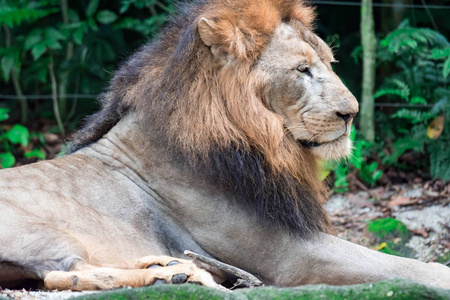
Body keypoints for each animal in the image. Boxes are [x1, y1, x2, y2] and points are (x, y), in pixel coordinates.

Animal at [0, 0, 450, 290]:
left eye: (329, 64)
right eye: (302, 70)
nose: (352, 113)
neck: (266, 145)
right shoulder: (291, 255)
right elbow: (414, 269)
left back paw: (172, 265)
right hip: (42, 228)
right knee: (61, 272)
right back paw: (177, 274)